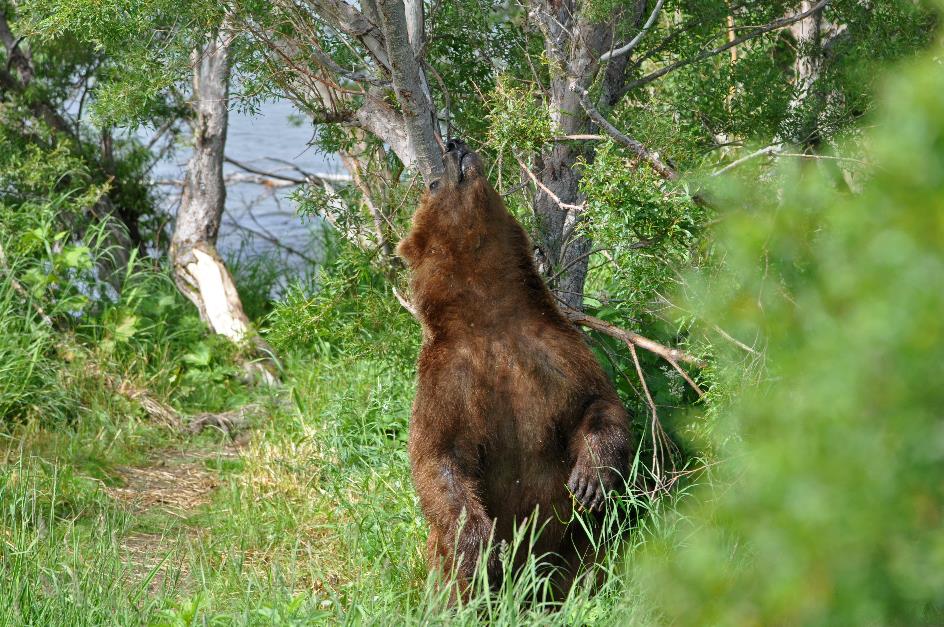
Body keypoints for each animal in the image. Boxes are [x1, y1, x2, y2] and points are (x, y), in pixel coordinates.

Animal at [398, 137, 636, 600]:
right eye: (433, 183)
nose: (453, 143)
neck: (489, 316)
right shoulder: (447, 378)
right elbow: (438, 458)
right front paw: (482, 547)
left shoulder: (555, 348)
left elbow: (598, 402)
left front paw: (590, 478)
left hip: (570, 546)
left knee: (596, 546)